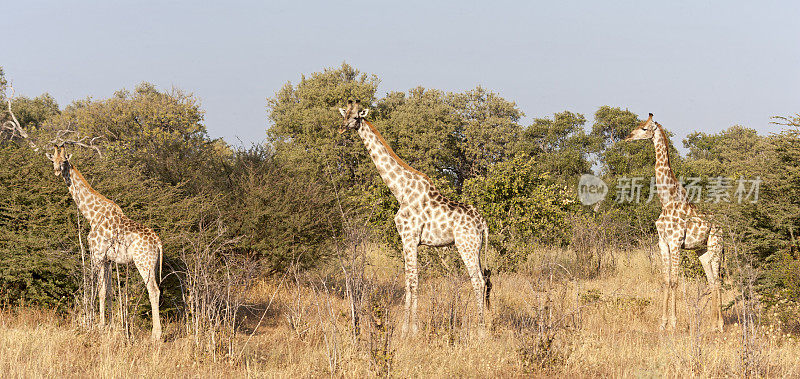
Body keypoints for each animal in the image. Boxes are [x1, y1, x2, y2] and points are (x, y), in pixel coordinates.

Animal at [45, 145, 164, 342]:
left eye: (64, 161)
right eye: (53, 160)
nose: (56, 171)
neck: (92, 215)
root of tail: (158, 242)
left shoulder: (98, 255)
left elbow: (100, 291)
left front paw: (99, 326)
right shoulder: (108, 260)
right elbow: (108, 292)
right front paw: (112, 325)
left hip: (143, 262)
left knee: (153, 291)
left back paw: (156, 335)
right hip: (152, 264)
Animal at [340, 100, 494, 336]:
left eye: (357, 116)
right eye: (345, 114)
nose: (342, 127)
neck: (400, 189)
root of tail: (482, 222)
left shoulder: (409, 237)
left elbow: (413, 280)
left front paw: (410, 328)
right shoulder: (409, 240)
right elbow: (408, 280)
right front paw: (408, 326)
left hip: (465, 245)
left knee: (477, 280)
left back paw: (481, 330)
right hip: (475, 247)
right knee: (484, 279)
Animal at [624, 113, 724, 332]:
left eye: (645, 128)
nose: (627, 136)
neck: (666, 200)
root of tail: (722, 225)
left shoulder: (676, 242)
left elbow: (675, 281)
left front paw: (674, 323)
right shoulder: (662, 243)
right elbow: (665, 280)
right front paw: (662, 323)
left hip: (716, 246)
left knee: (718, 280)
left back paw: (720, 325)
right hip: (701, 250)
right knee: (712, 281)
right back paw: (712, 325)